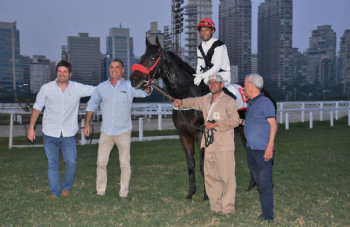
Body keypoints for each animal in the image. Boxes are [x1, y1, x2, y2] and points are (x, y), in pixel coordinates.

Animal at [130, 36, 274, 200]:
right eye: (142, 57)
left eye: (153, 57)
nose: (133, 78)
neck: (188, 96)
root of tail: (265, 92)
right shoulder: (184, 135)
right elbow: (191, 164)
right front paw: (191, 192)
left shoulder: (202, 134)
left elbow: (203, 165)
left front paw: (207, 195)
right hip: (244, 130)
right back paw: (251, 185)